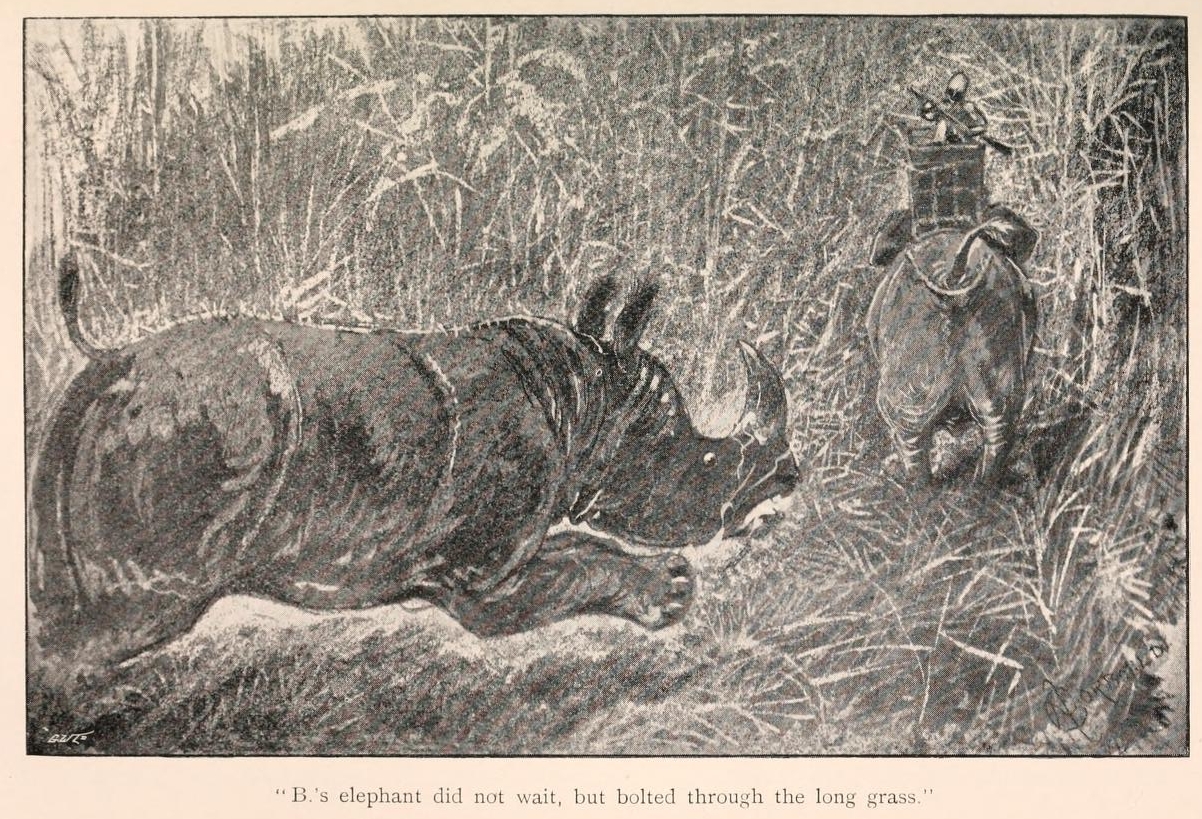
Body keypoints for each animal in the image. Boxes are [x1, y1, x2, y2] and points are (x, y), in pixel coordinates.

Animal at [30, 263, 799, 691]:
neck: (585, 401)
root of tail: (114, 360)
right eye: (701, 462)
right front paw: (671, 592)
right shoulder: (478, 576)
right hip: (195, 423)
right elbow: (578, 563)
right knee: (122, 621)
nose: (785, 484)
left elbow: (578, 548)